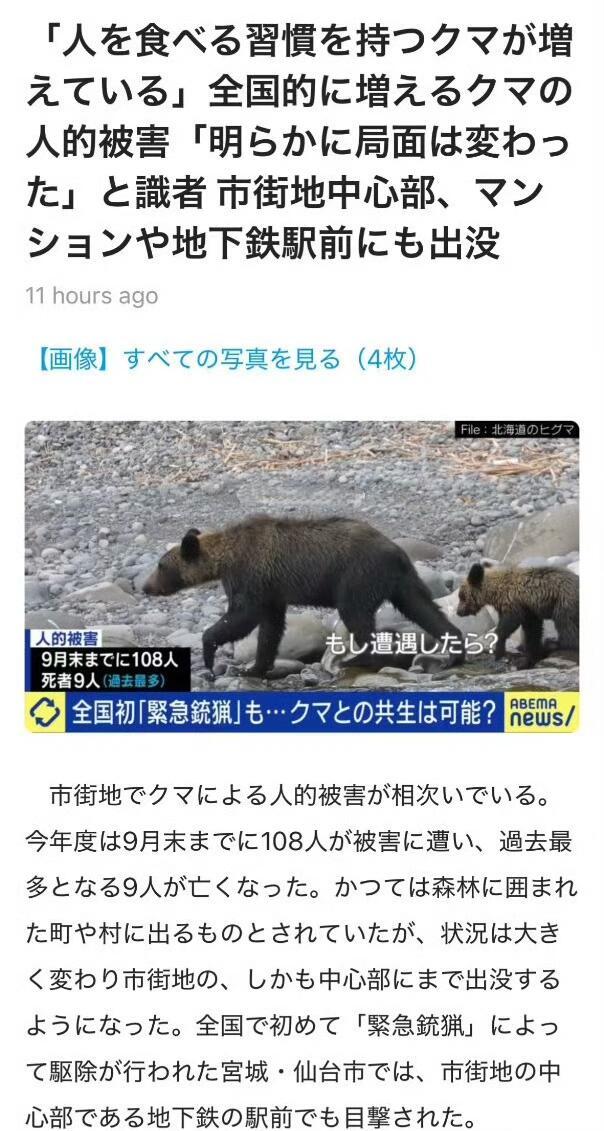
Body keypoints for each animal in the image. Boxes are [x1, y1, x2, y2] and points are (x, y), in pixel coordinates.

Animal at [143, 515, 466, 678]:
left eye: (160, 565)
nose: (145, 586)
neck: (226, 557)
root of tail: (395, 550)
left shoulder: (251, 576)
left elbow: (242, 617)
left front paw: (211, 653)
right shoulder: (271, 589)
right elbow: (270, 627)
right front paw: (255, 667)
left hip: (357, 576)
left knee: (356, 615)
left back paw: (355, 659)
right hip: (402, 581)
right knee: (424, 608)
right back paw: (454, 651)